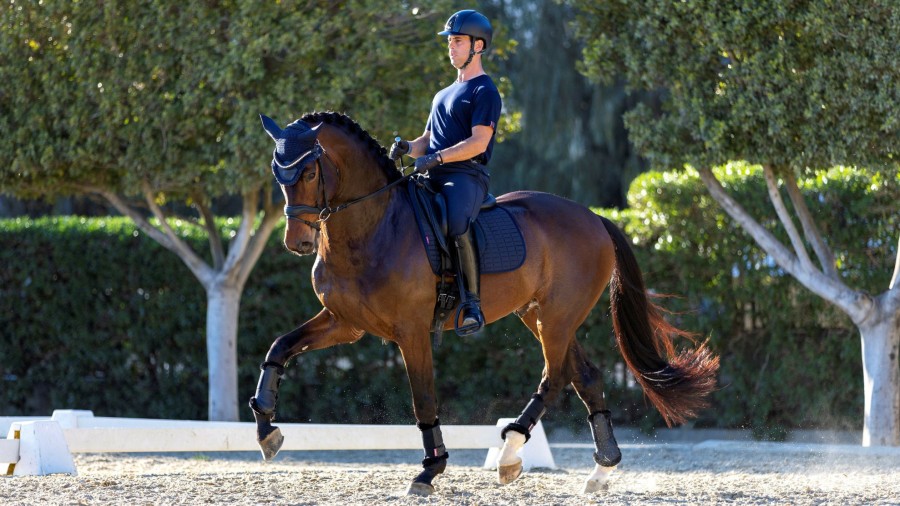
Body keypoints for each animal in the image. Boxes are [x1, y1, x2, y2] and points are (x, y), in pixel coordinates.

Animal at [246, 110, 716, 494]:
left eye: (309, 171)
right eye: (277, 172)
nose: (297, 242)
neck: (373, 225)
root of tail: (594, 218)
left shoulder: (410, 332)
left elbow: (423, 400)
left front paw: (430, 469)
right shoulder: (345, 322)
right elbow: (280, 347)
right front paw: (266, 426)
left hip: (557, 317)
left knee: (556, 376)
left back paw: (510, 450)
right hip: (540, 315)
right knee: (585, 375)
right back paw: (601, 470)